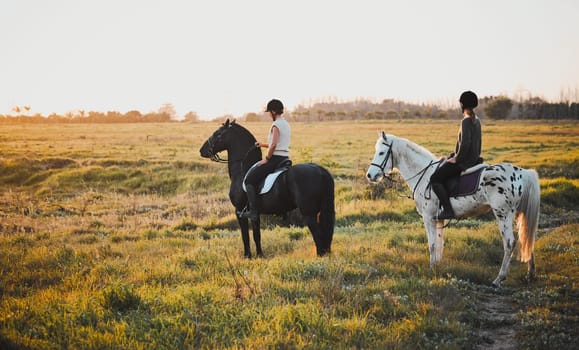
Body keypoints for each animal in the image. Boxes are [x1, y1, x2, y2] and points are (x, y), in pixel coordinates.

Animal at [199, 119, 336, 258]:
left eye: (217, 134)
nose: (202, 150)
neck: (242, 170)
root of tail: (321, 171)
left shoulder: (239, 211)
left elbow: (245, 235)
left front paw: (247, 256)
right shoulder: (255, 214)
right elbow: (256, 235)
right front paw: (259, 255)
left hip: (309, 213)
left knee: (318, 234)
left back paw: (320, 256)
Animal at [364, 131, 540, 288]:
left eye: (381, 152)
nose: (370, 175)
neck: (424, 175)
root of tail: (523, 173)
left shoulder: (428, 218)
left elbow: (432, 244)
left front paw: (431, 269)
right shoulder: (439, 219)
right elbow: (439, 244)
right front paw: (437, 266)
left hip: (503, 214)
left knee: (510, 242)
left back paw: (499, 279)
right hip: (518, 214)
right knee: (527, 237)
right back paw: (530, 274)